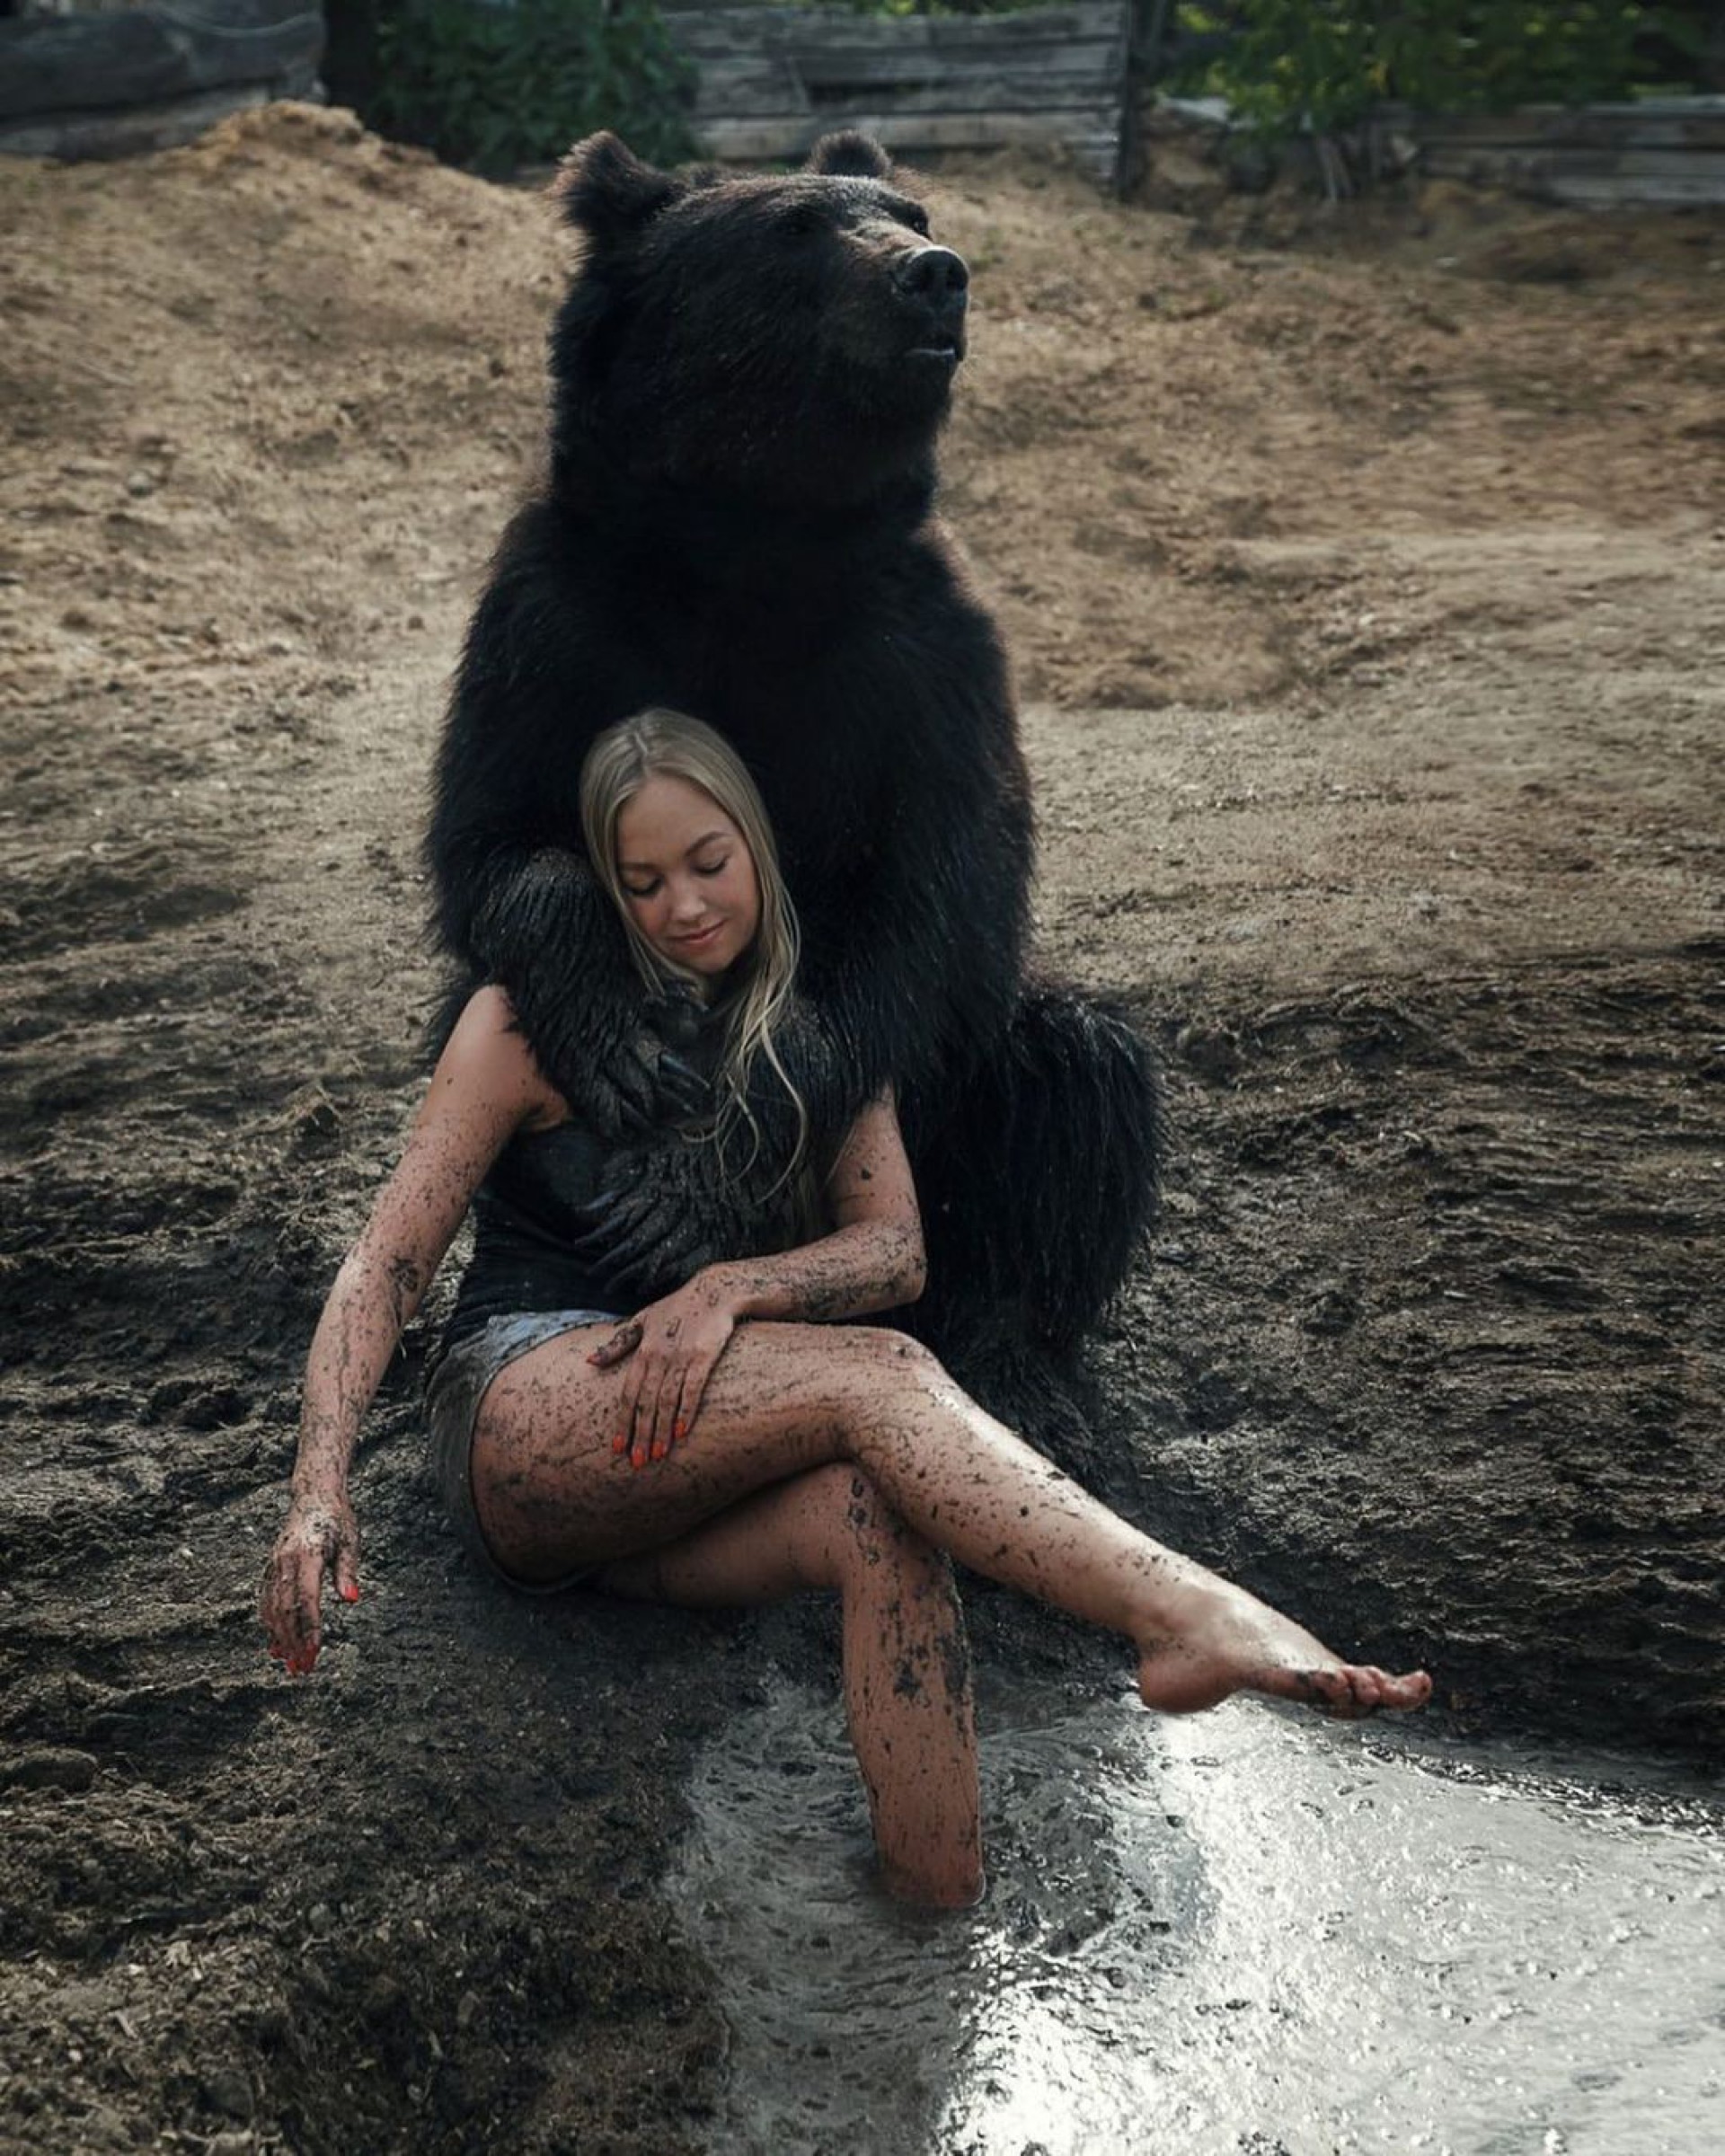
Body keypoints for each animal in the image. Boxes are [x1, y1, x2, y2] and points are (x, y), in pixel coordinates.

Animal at [426, 128, 1161, 1435]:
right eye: (794, 232)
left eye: (911, 211)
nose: (936, 276)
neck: (753, 542)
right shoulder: (551, 623)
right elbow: (494, 841)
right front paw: (618, 1044)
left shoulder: (927, 664)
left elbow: (928, 911)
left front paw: (688, 1186)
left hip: (966, 1122)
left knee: (1076, 1078)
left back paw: (1022, 1366)